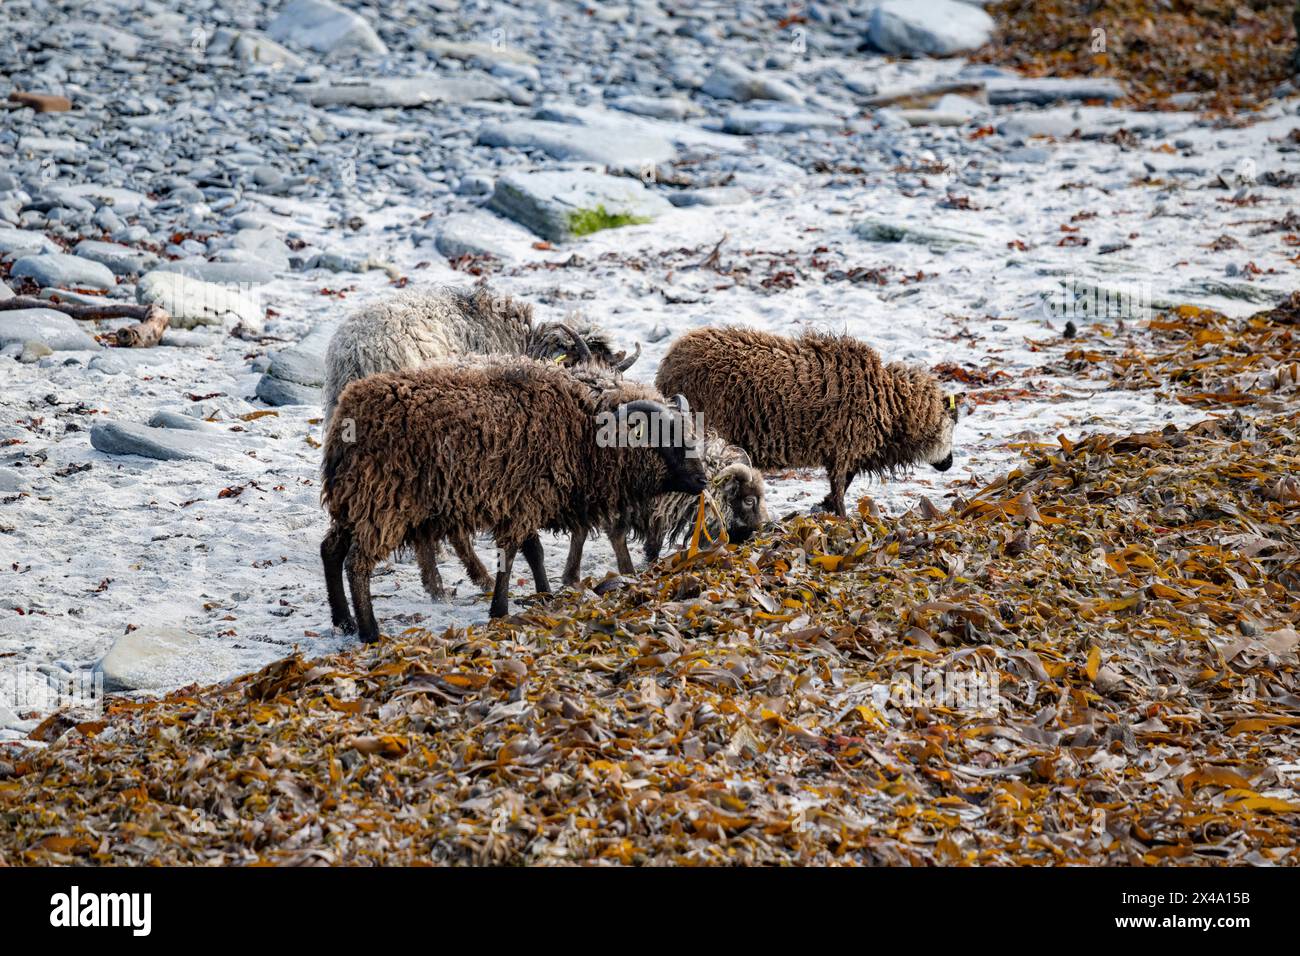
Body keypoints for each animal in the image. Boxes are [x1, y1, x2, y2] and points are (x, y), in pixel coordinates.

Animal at [320, 356, 707, 641]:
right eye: (668, 440)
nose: (702, 480)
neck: (583, 427)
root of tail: (347, 415)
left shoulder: (524, 500)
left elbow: (533, 551)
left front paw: (544, 594)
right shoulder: (523, 498)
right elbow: (510, 555)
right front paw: (500, 609)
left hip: (354, 500)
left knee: (331, 550)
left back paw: (343, 621)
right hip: (382, 502)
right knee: (357, 564)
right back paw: (369, 631)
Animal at [561, 427, 769, 585]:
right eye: (749, 500)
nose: (759, 532)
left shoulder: (656, 512)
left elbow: (653, 543)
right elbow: (621, 538)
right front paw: (630, 572)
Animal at [655, 327, 960, 518]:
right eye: (951, 425)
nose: (949, 463)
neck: (888, 402)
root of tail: (668, 366)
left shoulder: (846, 451)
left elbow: (843, 484)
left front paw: (824, 506)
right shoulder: (845, 447)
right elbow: (840, 487)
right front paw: (841, 515)